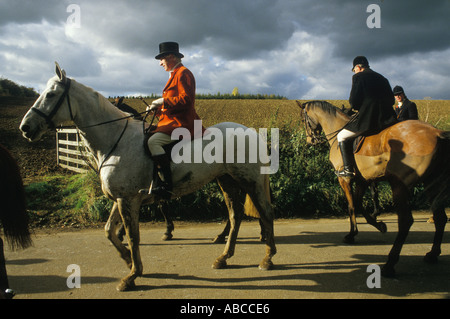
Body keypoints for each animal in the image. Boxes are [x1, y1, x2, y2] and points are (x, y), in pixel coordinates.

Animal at [19, 63, 276, 292]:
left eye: (51, 94)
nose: (25, 127)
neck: (116, 140)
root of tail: (252, 132)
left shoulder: (128, 200)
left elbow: (133, 236)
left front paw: (132, 275)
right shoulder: (121, 198)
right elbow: (109, 231)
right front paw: (127, 260)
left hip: (250, 181)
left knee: (265, 212)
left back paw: (267, 258)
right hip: (227, 181)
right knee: (235, 216)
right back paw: (224, 257)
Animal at [298, 100, 450, 278]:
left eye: (303, 119)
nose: (310, 141)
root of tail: (438, 133)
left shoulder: (344, 179)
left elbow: (351, 206)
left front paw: (352, 234)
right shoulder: (363, 181)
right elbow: (359, 204)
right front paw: (379, 225)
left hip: (399, 185)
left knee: (406, 221)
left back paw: (390, 265)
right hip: (431, 182)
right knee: (440, 218)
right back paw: (432, 254)